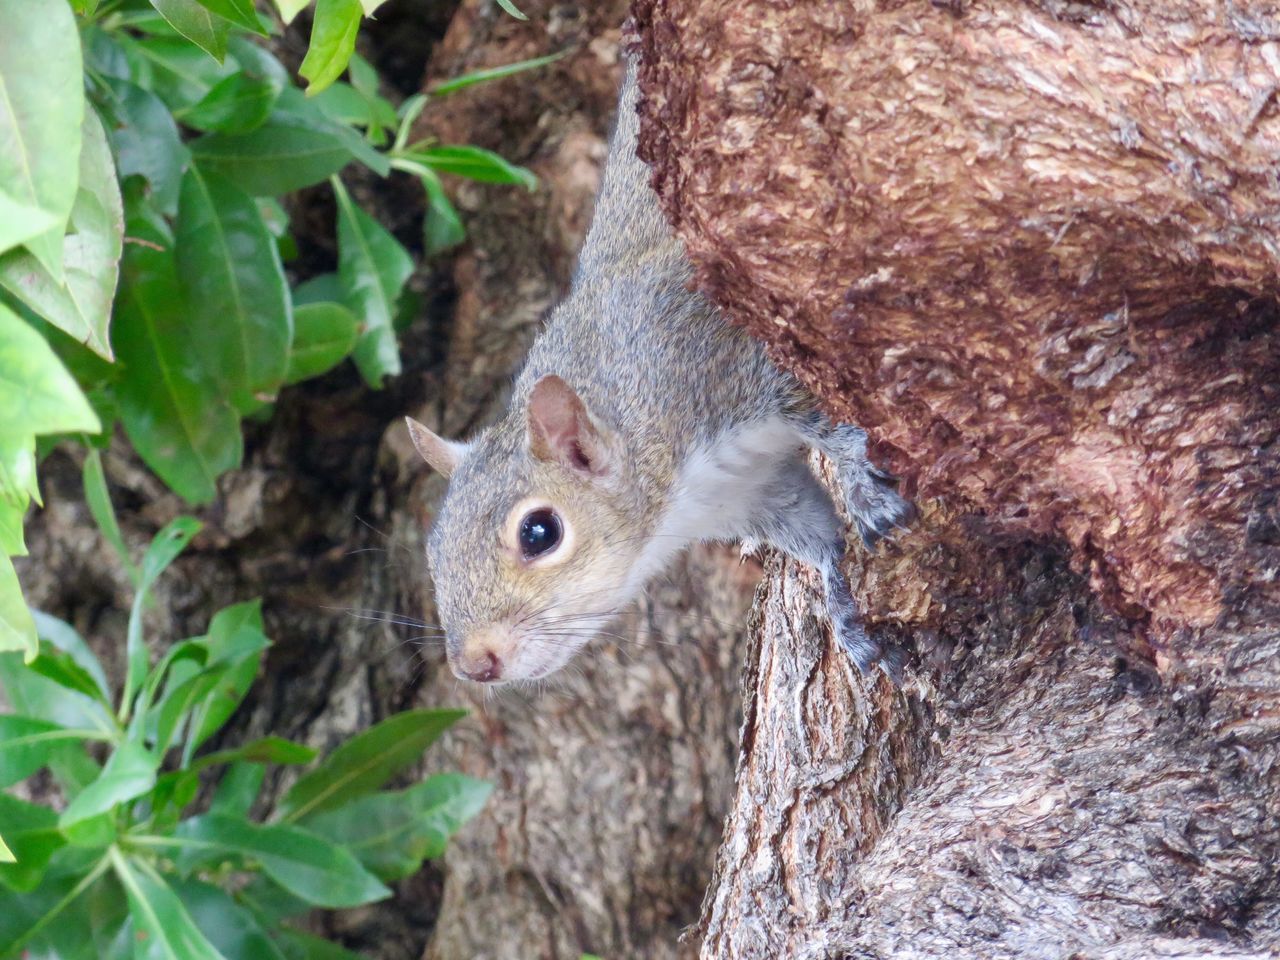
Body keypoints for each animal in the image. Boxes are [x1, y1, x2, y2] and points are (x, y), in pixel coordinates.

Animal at [404, 56, 916, 686]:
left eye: (539, 533)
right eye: (433, 549)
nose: (475, 665)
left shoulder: (730, 351)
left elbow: (819, 414)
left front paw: (861, 484)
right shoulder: (753, 493)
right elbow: (819, 539)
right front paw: (846, 617)